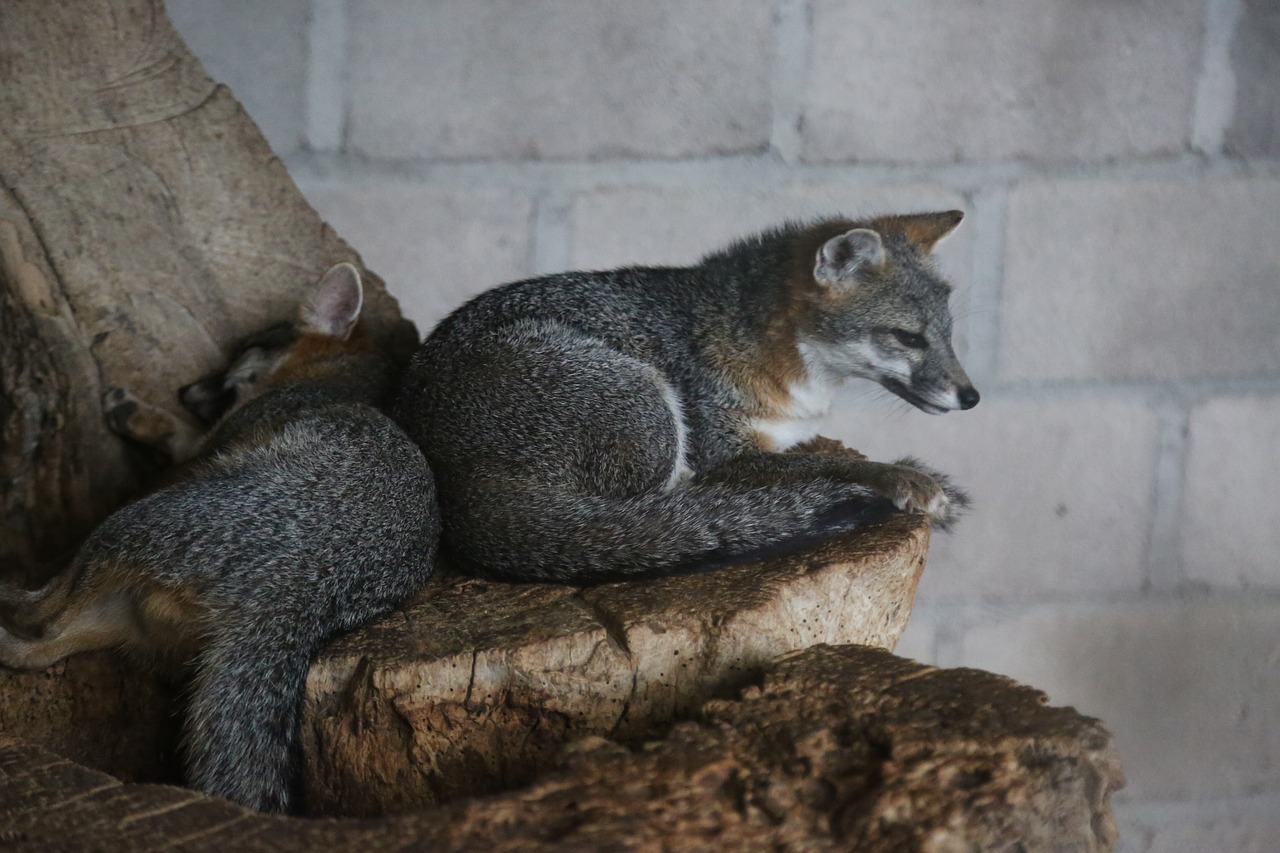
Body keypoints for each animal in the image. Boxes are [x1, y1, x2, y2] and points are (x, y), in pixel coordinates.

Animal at [0, 263, 440, 809]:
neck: (340, 379)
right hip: (134, 611)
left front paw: (142, 413)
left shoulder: (211, 448)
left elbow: (180, 440)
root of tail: (307, 595)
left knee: (44, 615)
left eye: (245, 348)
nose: (187, 390)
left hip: (135, 526)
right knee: (39, 647)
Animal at [396, 212, 977, 584]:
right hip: (646, 406)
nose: (971, 396)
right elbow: (822, 463)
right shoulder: (724, 451)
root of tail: (448, 476)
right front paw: (902, 476)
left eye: (948, 334)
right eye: (907, 338)